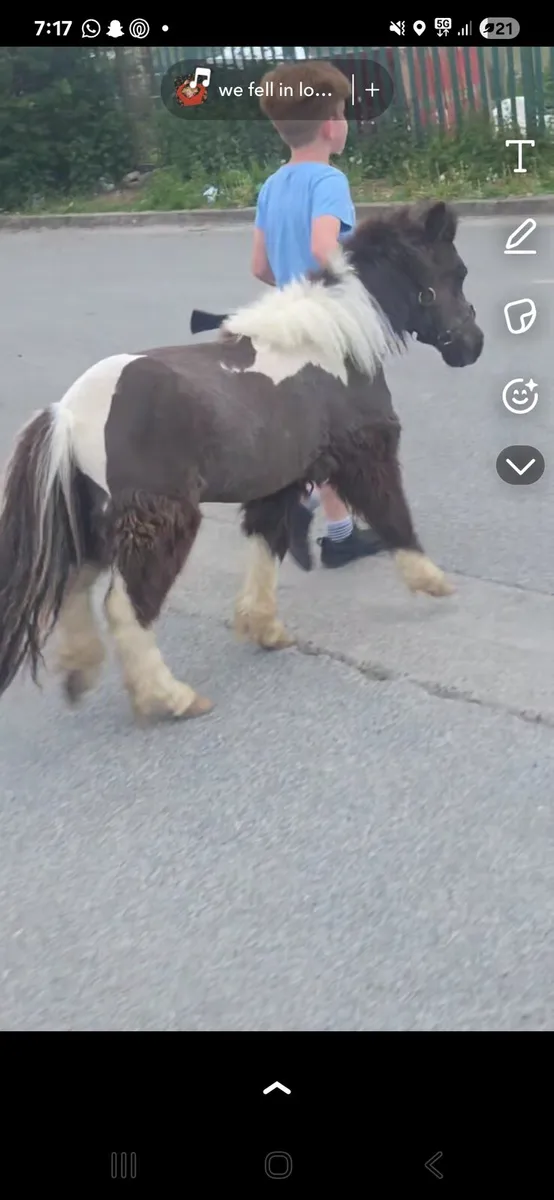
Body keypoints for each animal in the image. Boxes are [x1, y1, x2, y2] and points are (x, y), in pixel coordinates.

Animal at [0, 200, 483, 723]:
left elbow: (266, 546)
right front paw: (432, 581)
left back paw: (79, 671)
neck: (332, 341)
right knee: (126, 607)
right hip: (159, 522)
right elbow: (394, 515)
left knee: (72, 583)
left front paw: (264, 627)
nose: (472, 344)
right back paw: (171, 698)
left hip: (94, 519)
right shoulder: (365, 457)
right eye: (456, 271)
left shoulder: (280, 483)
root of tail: (66, 415)